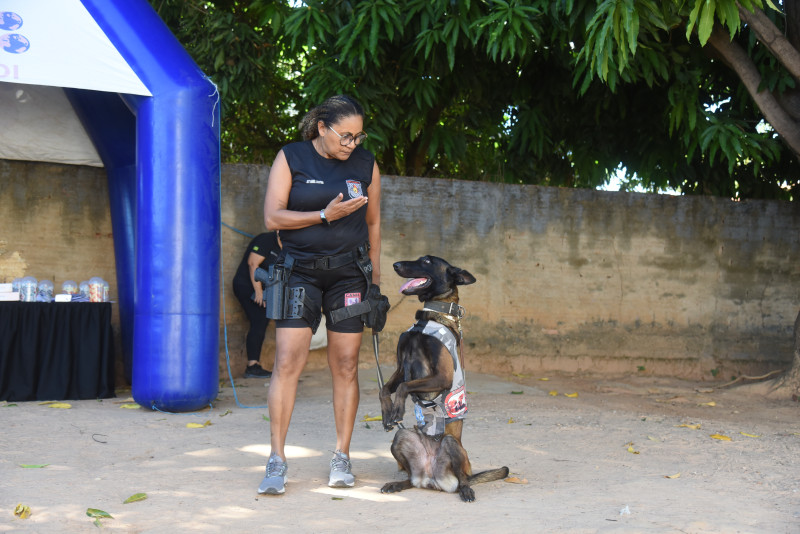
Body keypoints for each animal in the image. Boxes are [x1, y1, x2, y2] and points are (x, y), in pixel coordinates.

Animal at [380, 258, 506, 504]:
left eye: (426, 260)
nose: (395, 264)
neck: (428, 318)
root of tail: (431, 479)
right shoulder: (400, 368)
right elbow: (385, 389)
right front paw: (388, 413)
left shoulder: (442, 377)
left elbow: (403, 386)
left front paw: (397, 408)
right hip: (402, 437)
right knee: (411, 479)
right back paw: (397, 484)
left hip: (450, 444)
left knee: (462, 480)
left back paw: (466, 489)